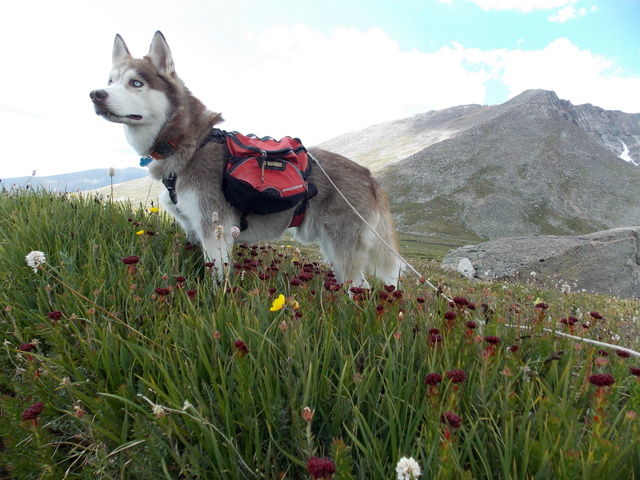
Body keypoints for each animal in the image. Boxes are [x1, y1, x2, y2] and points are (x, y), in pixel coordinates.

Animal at [91, 32, 400, 288]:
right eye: (111, 81)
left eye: (136, 83)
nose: (95, 94)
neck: (189, 144)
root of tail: (370, 175)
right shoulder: (193, 229)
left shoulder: (215, 230)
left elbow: (217, 278)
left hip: (341, 248)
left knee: (360, 288)